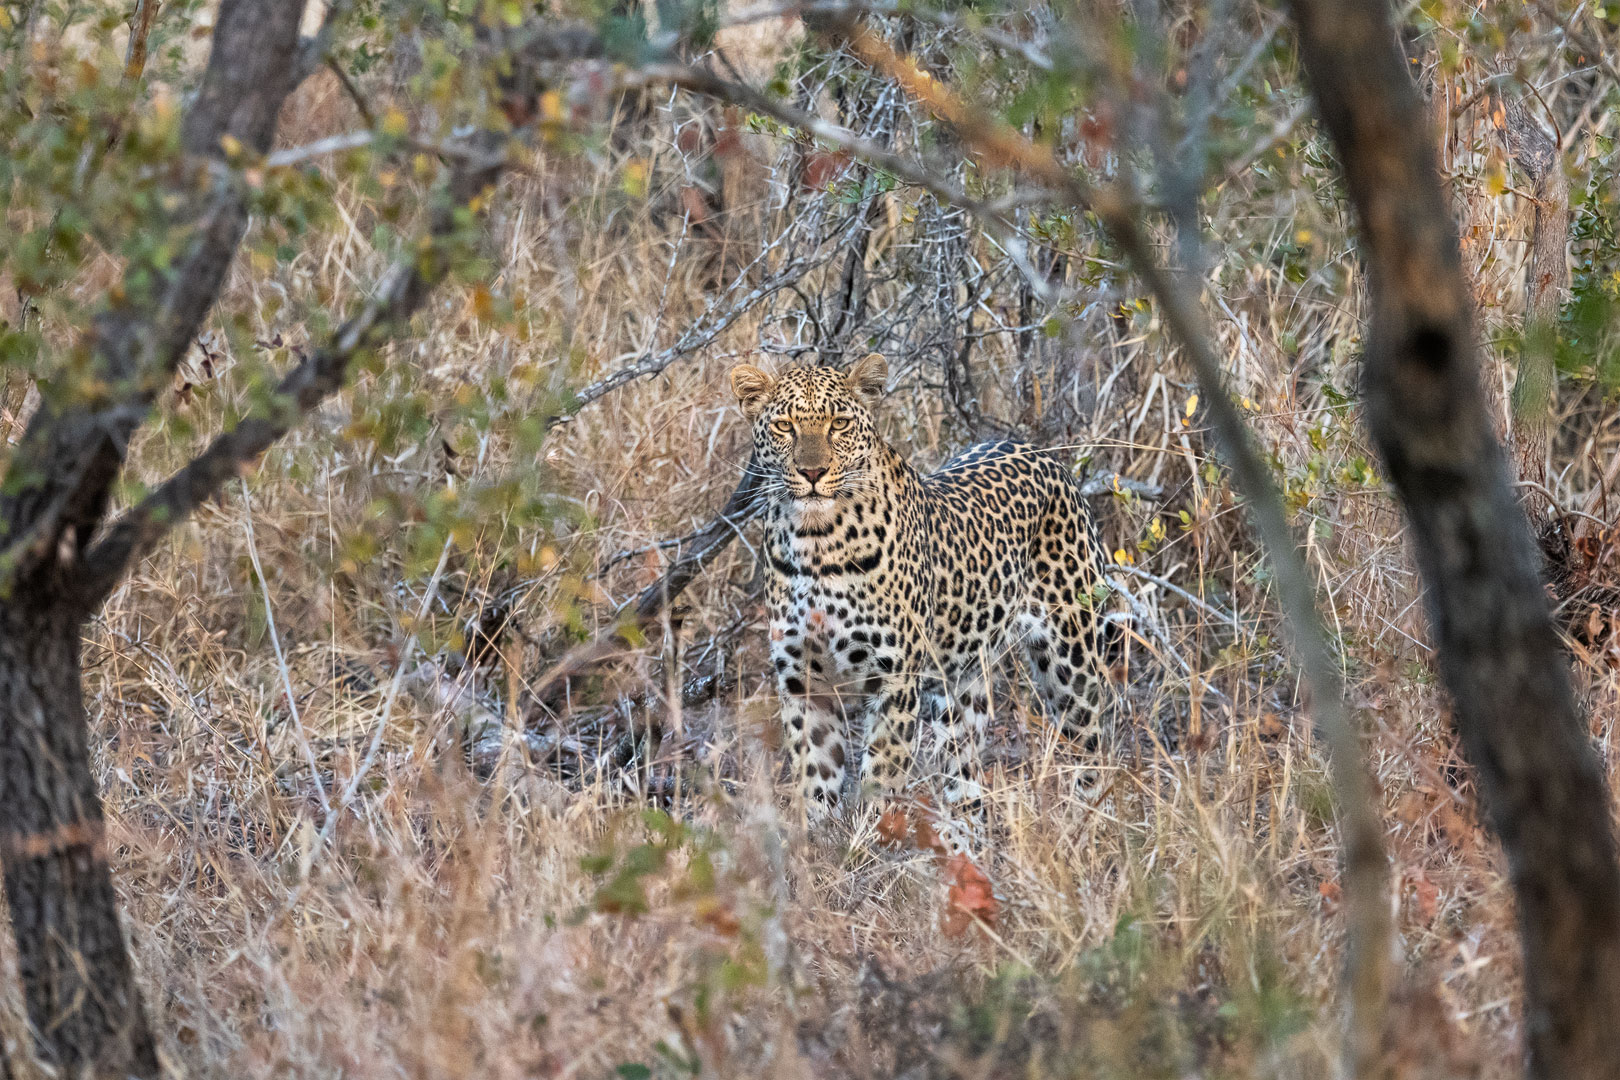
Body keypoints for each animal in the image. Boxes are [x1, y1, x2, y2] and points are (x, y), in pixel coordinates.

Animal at [732, 351, 1121, 822]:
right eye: (784, 425)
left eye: (839, 424)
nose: (812, 472)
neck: (816, 540)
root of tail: (1041, 452)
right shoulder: (803, 682)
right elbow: (815, 783)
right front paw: (817, 838)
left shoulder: (894, 679)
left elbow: (880, 781)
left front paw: (870, 838)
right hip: (959, 689)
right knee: (966, 785)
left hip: (1072, 663)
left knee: (1094, 751)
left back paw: (1096, 821)